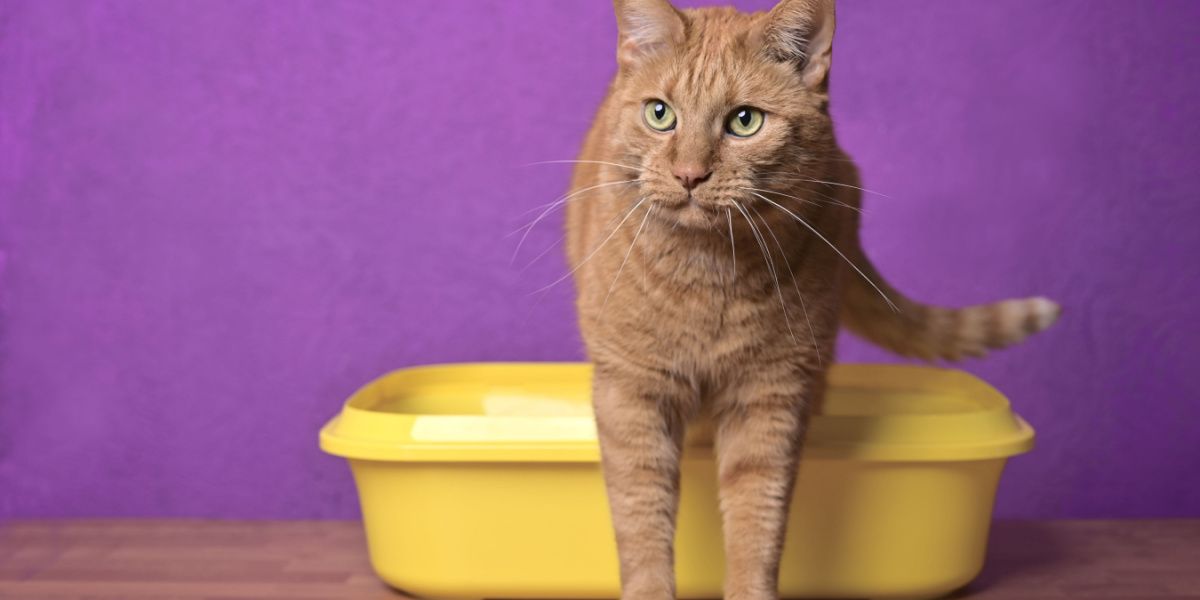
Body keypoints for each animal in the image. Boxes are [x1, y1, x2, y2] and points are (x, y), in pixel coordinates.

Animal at [561, 1, 1060, 600]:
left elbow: (757, 519)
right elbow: (641, 519)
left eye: (744, 121)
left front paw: (750, 590)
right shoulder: (631, 394)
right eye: (660, 114)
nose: (689, 175)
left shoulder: (771, 397)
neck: (708, 272)